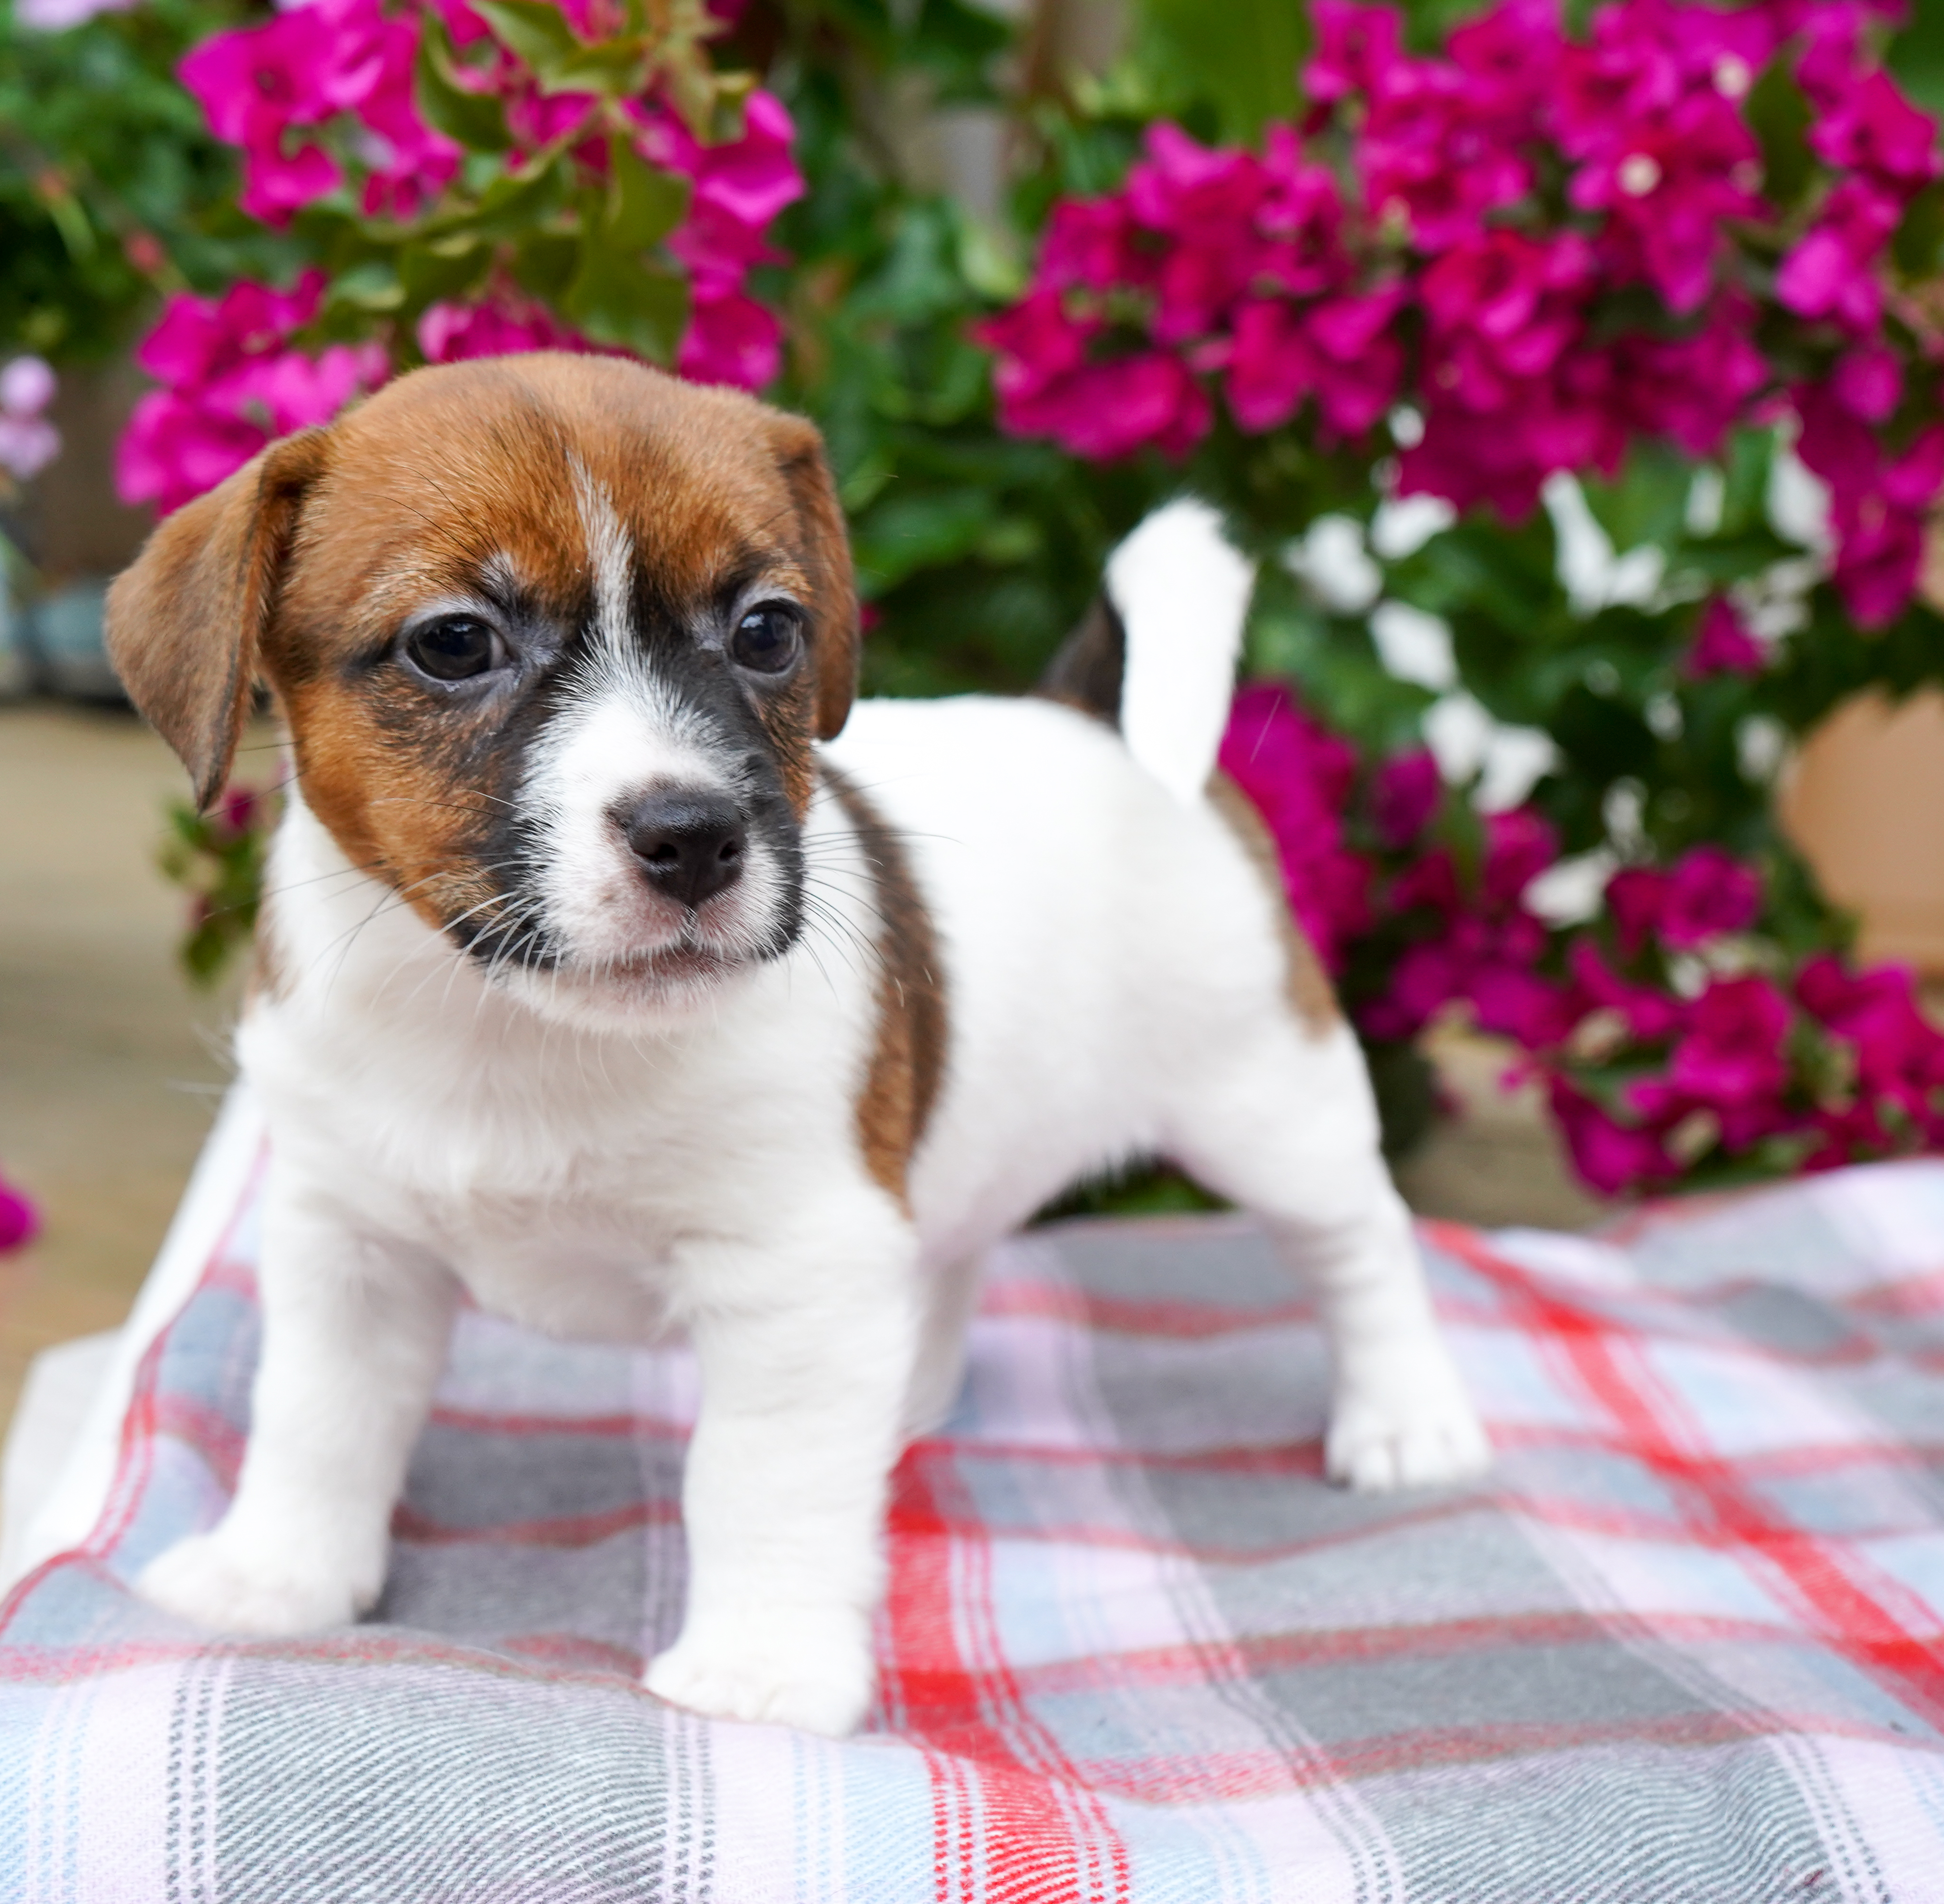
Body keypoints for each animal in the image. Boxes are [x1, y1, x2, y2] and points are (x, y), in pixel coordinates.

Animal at [106, 350, 1485, 1735]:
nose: (694, 835)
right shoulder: (349, 1243)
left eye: (768, 629)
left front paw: (762, 1666)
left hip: (1268, 1105)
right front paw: (276, 1575)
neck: (516, 1028)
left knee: (1359, 1242)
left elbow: (759, 1482)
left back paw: (1407, 1417)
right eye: (455, 642)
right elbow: (317, 1422)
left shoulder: (792, 1271)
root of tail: (1091, 719)